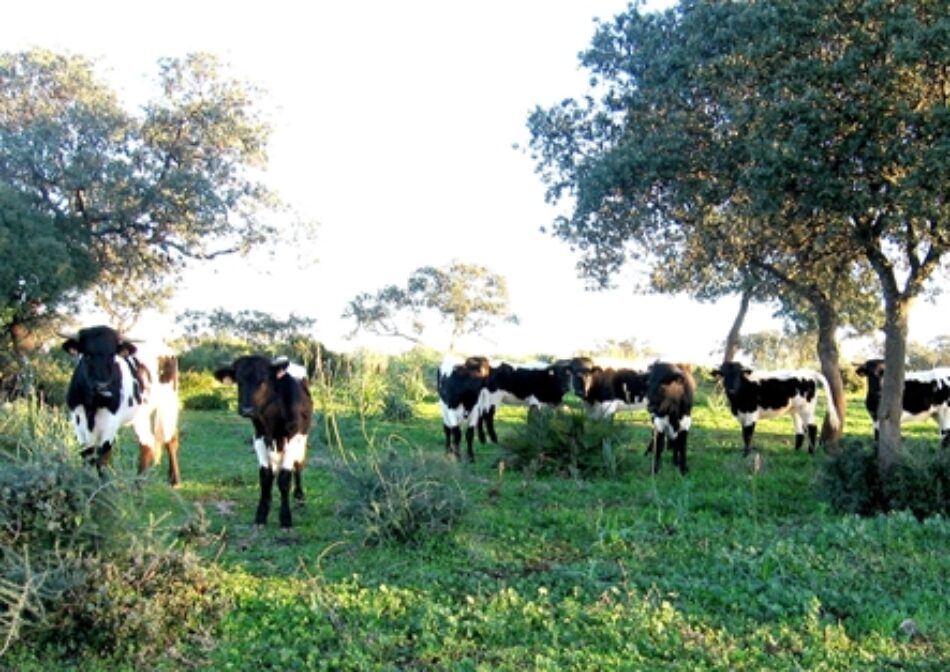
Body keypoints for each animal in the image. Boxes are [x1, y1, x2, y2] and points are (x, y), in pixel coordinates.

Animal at [61, 324, 182, 486]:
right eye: (87, 355)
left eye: (113, 355)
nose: (103, 387)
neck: (92, 405)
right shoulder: (77, 421)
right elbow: (87, 456)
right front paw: (85, 483)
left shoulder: (111, 422)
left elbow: (103, 458)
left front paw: (104, 487)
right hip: (141, 415)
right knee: (146, 443)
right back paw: (138, 483)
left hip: (168, 403)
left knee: (171, 439)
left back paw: (174, 479)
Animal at [214, 354, 314, 528]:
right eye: (239, 381)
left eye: (263, 380)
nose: (247, 410)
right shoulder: (259, 437)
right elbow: (266, 476)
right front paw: (261, 515)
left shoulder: (293, 436)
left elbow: (285, 477)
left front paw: (285, 518)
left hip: (302, 438)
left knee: (298, 465)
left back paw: (299, 497)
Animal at [712, 362, 840, 456]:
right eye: (723, 374)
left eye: (739, 374)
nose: (731, 388)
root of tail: (807, 372)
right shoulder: (743, 415)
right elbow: (744, 434)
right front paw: (745, 452)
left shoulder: (751, 414)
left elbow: (748, 435)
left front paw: (746, 454)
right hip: (795, 410)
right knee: (800, 431)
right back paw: (795, 452)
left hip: (806, 409)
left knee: (812, 427)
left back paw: (811, 453)